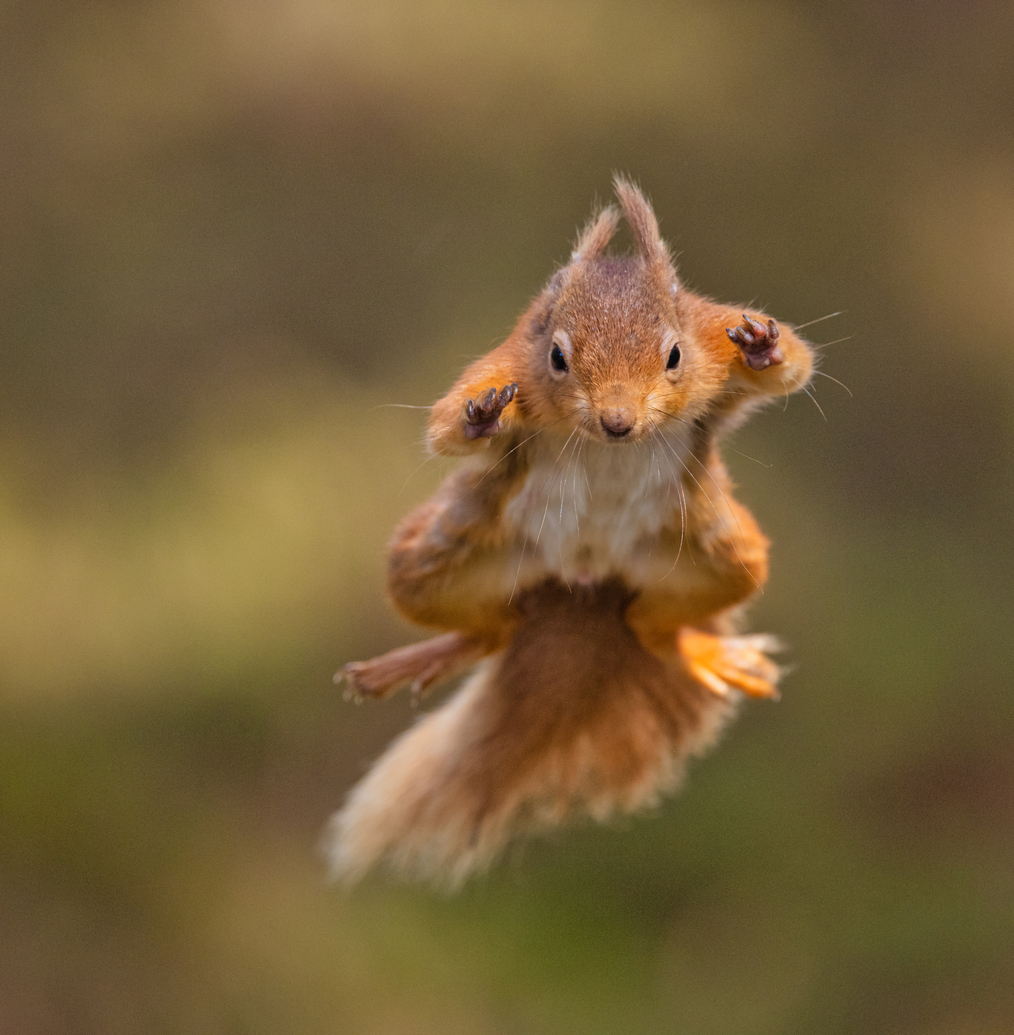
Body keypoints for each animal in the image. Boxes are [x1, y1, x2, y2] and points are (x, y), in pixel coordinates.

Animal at [326, 176, 815, 886]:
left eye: (673, 355)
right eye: (557, 356)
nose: (617, 422)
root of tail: (586, 582)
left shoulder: (709, 335)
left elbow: (795, 366)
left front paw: (763, 346)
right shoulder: (510, 360)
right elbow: (445, 426)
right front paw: (478, 415)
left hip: (722, 557)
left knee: (650, 626)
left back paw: (701, 651)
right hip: (436, 561)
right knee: (490, 629)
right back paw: (425, 657)